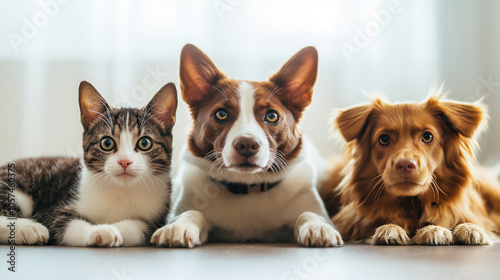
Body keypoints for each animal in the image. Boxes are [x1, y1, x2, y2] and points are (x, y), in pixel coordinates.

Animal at [0, 81, 177, 247]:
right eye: (107, 143)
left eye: (145, 143)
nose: (124, 161)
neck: (122, 190)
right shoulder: (54, 208)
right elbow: (65, 223)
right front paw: (100, 231)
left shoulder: (157, 216)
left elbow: (142, 227)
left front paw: (118, 228)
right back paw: (29, 228)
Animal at [150, 44, 342, 247]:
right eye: (221, 114)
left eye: (272, 116)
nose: (247, 144)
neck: (247, 186)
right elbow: (192, 212)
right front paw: (178, 226)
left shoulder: (309, 204)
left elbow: (309, 213)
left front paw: (318, 227)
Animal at [320, 92, 500, 245]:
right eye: (384, 139)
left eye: (427, 137)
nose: (405, 164)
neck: (411, 202)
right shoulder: (348, 220)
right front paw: (390, 228)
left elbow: (472, 221)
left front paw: (466, 228)